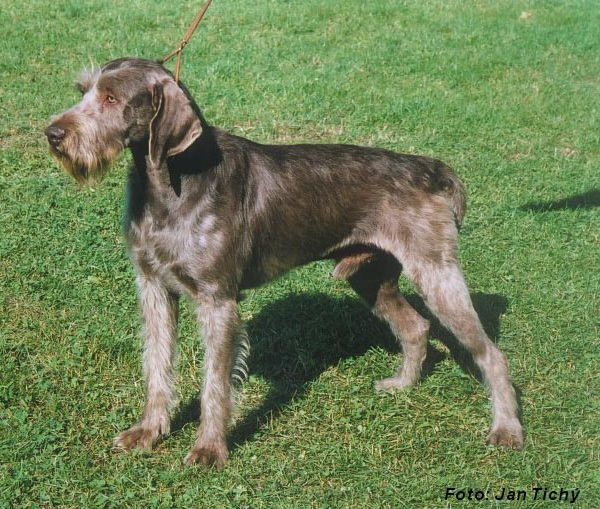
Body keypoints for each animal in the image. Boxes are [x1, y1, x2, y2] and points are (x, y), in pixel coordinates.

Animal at [47, 57, 524, 466]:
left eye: (112, 98)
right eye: (83, 91)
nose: (53, 133)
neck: (170, 185)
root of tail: (435, 171)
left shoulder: (217, 301)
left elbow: (215, 384)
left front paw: (209, 449)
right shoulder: (155, 288)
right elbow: (157, 366)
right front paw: (149, 431)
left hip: (437, 275)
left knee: (492, 354)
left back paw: (506, 430)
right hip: (370, 277)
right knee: (415, 326)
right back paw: (402, 385)